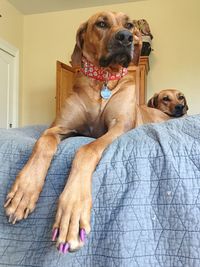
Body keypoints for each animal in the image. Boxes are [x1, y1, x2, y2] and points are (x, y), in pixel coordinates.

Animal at [4, 11, 143, 254]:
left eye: (129, 24)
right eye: (101, 23)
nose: (126, 37)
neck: (102, 79)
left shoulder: (119, 127)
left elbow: (86, 150)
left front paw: (72, 212)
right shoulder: (59, 126)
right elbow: (44, 141)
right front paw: (24, 191)